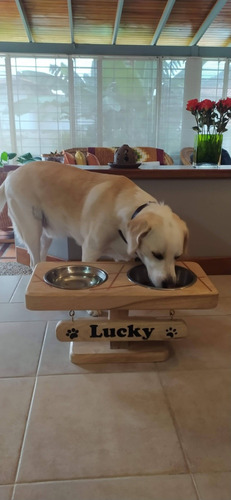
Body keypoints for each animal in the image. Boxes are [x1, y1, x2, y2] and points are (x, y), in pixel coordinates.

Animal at [0, 160, 188, 286]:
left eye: (177, 257)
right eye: (157, 255)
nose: (170, 284)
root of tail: (11, 174)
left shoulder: (120, 257)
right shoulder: (90, 250)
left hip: (46, 235)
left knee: (40, 260)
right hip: (31, 231)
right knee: (33, 261)